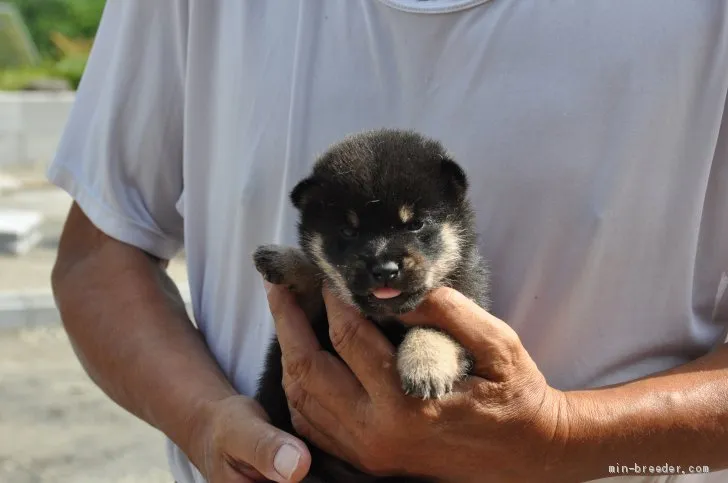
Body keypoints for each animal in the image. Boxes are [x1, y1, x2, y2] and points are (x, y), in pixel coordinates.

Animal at [253, 130, 492, 483]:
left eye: (415, 225)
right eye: (348, 231)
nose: (385, 269)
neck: (388, 318)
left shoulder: (469, 307)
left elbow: (436, 329)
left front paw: (424, 364)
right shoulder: (317, 314)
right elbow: (320, 278)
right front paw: (284, 258)